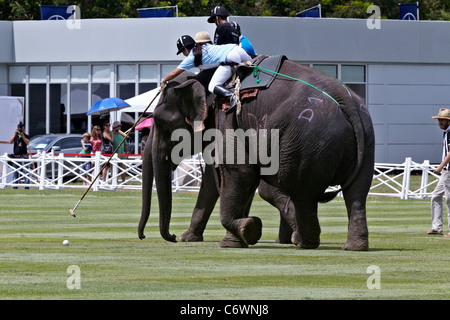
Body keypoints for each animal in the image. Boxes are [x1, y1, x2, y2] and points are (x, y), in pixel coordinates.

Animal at [139, 58, 374, 251]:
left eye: (158, 120)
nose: (172, 236)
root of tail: (347, 100)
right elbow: (214, 181)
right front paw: (191, 238)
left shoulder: (229, 117)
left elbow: (238, 172)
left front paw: (243, 233)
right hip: (363, 142)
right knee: (356, 192)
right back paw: (352, 247)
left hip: (307, 144)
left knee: (302, 192)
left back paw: (303, 242)